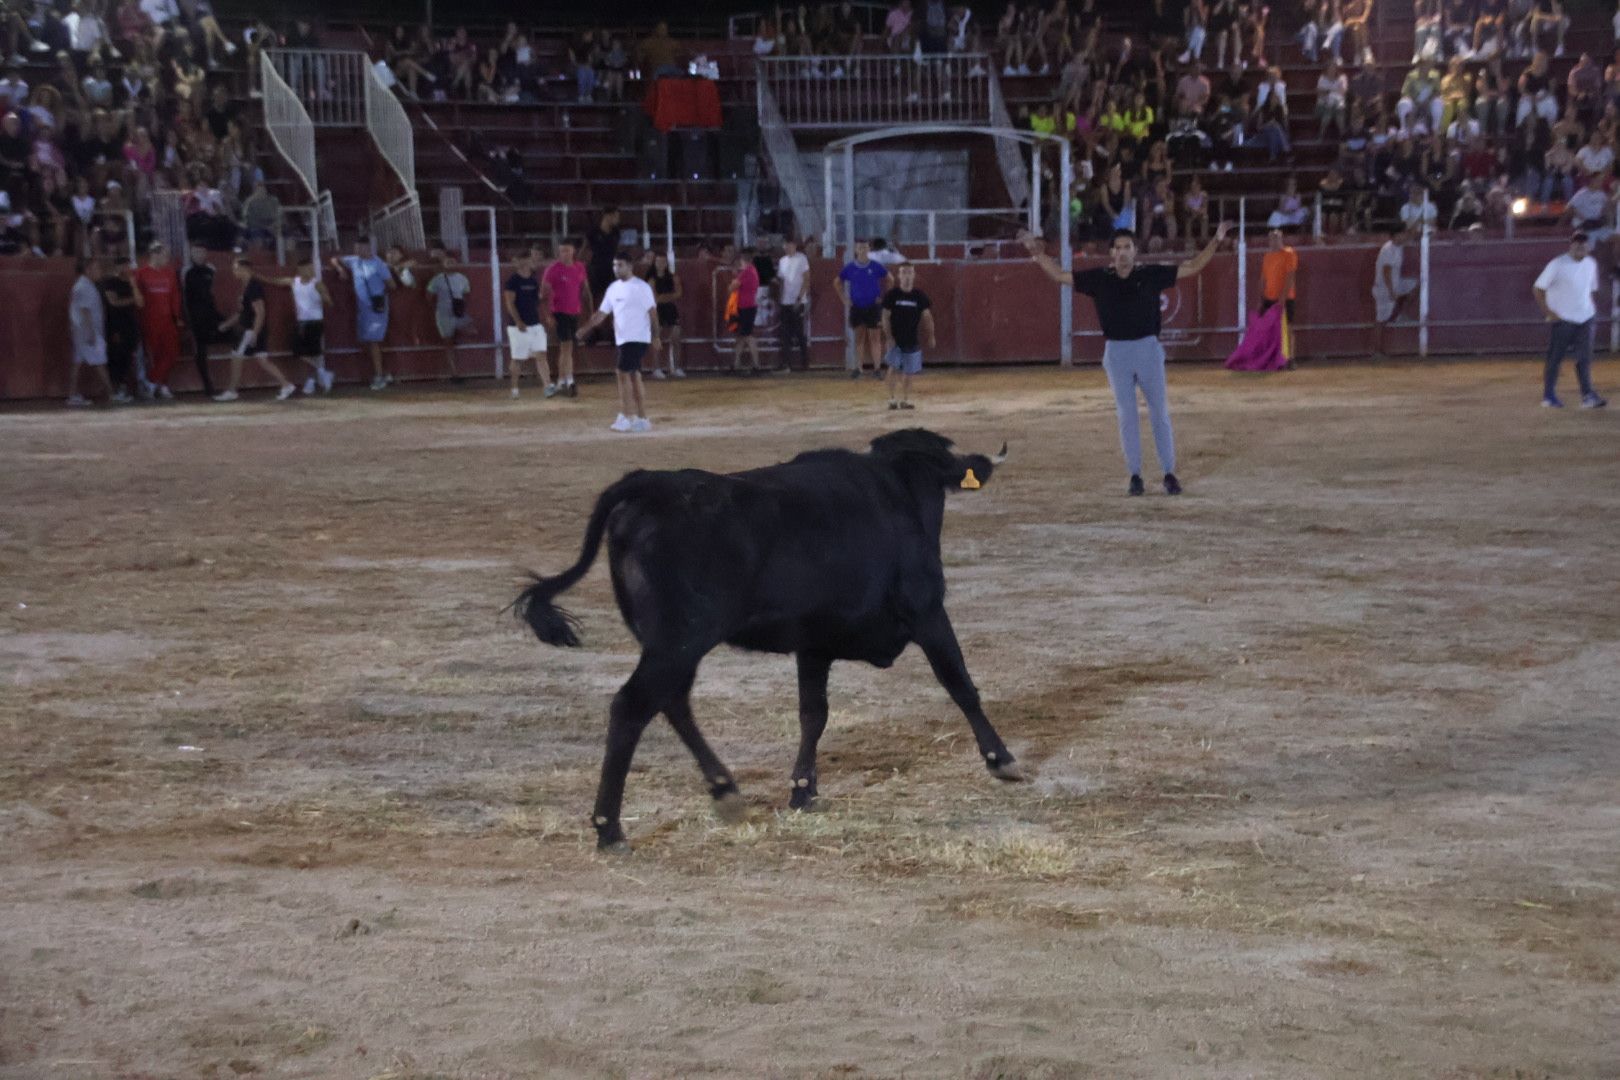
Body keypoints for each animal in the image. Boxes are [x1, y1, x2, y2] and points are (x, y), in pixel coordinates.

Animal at [511, 427, 1030, 848]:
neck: (896, 488)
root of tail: (651, 484)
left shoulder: (814, 643)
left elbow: (813, 713)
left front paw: (803, 790)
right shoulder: (928, 613)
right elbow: (959, 683)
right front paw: (1001, 758)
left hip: (672, 644)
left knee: (672, 702)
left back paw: (724, 791)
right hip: (680, 640)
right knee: (632, 707)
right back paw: (610, 828)